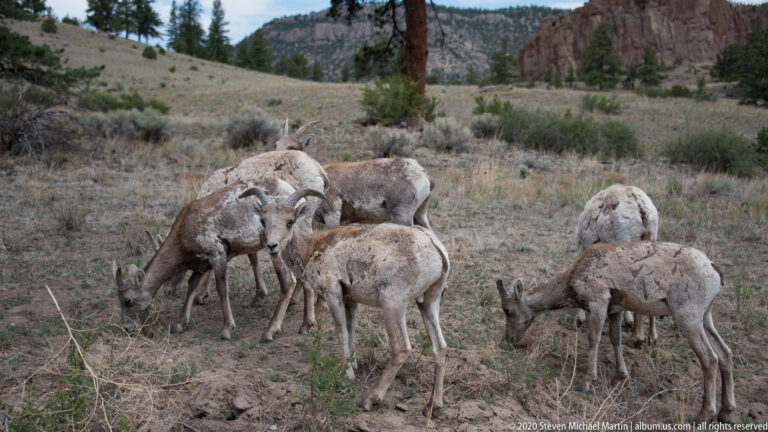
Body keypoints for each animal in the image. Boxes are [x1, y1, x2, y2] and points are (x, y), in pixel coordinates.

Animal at [112, 178, 309, 341]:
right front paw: (179, 324)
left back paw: (270, 331)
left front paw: (227, 329)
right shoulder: (201, 264)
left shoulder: (217, 255)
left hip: (278, 250)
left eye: (128, 300)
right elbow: (191, 285)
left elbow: (221, 288)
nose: (127, 328)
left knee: (288, 282)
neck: (183, 231)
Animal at [239, 187, 450, 412]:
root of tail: (435, 249)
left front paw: (347, 373)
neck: (312, 248)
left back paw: (368, 400)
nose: (272, 246)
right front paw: (354, 365)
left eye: (290, 221)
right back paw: (434, 404)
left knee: (401, 349)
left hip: (393, 303)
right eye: (263, 220)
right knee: (440, 346)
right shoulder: (351, 301)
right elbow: (351, 330)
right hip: (428, 302)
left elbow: (341, 331)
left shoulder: (333, 295)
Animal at [497, 241, 735, 423]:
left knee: (709, 358)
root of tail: (714, 271)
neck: (574, 277)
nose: (509, 339)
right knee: (725, 353)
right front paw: (620, 376)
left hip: (688, 316)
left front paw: (585, 382)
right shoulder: (615, 310)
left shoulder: (599, 302)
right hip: (706, 317)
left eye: (508, 310)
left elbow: (594, 339)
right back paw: (726, 412)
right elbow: (615, 338)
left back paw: (703, 415)